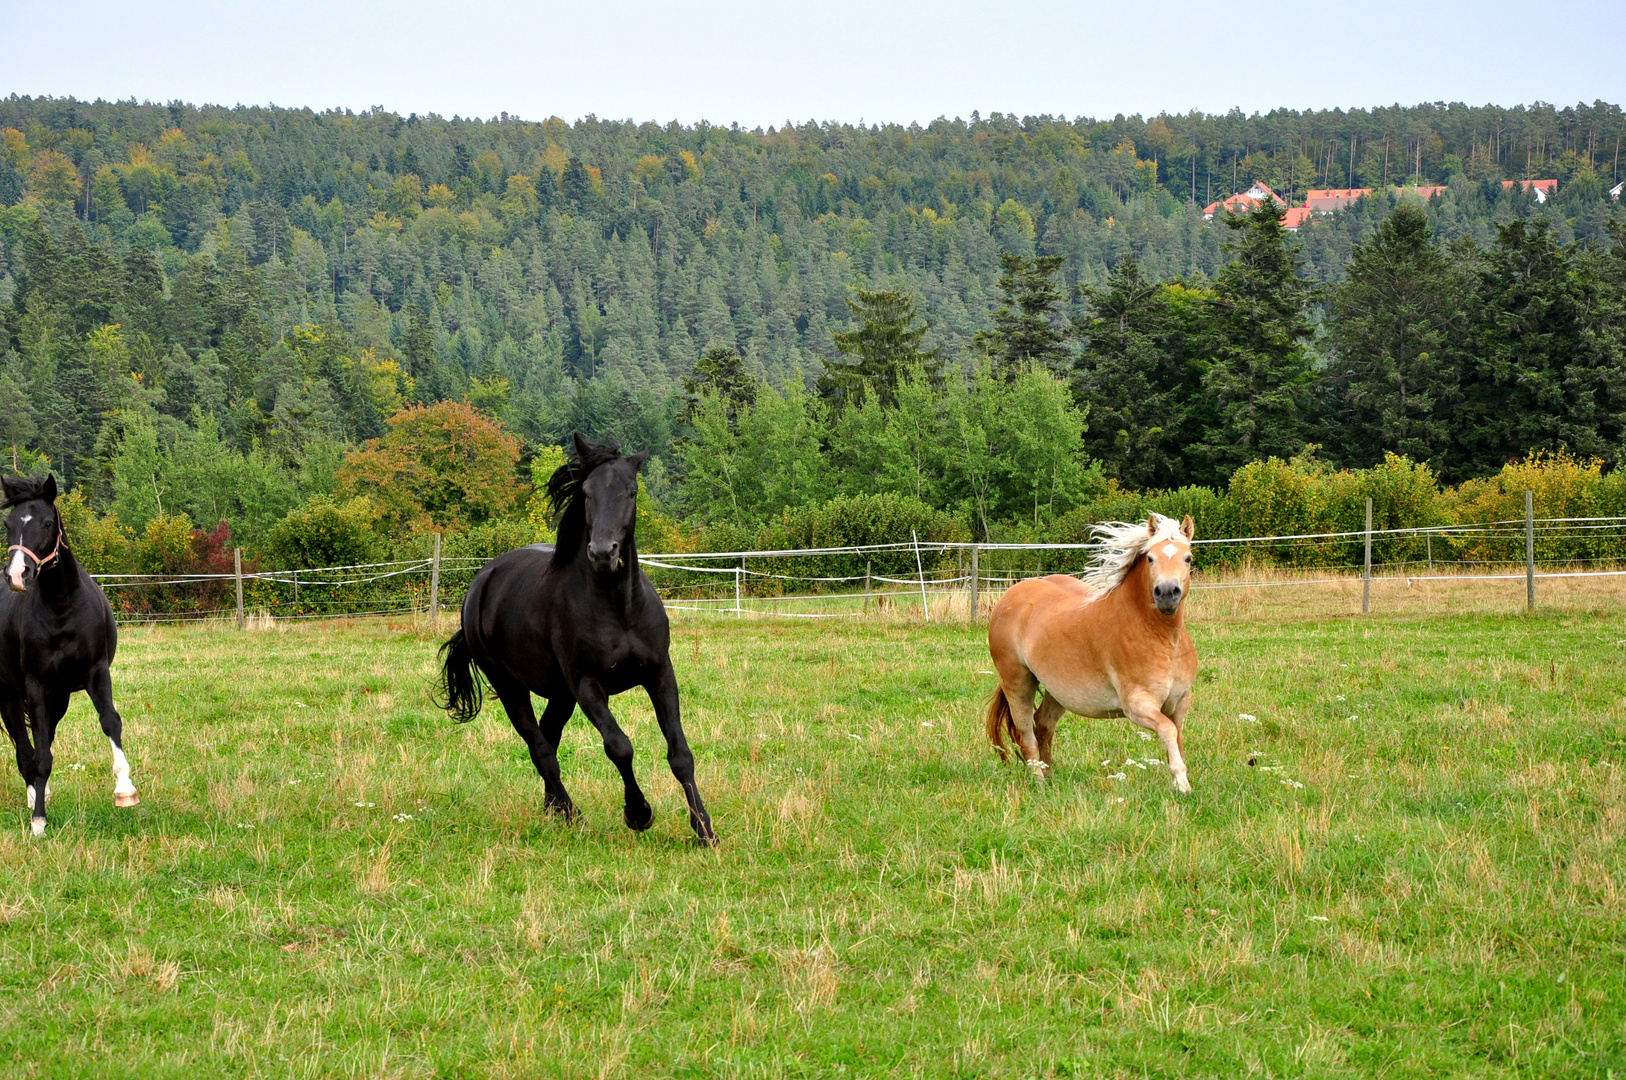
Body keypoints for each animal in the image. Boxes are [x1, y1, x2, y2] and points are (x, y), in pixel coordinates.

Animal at [435, 435, 715, 845]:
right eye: (586, 492)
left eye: (631, 492)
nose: (602, 553)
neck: (620, 610)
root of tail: (482, 582)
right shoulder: (587, 686)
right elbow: (619, 747)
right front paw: (638, 813)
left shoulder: (660, 675)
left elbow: (680, 753)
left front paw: (704, 830)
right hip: (509, 685)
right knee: (540, 748)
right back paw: (571, 815)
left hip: (559, 693)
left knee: (548, 737)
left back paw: (553, 808)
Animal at [982, 510, 1203, 790]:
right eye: (1151, 558)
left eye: (1188, 557)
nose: (1166, 593)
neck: (1162, 638)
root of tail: (1010, 596)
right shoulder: (1137, 705)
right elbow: (1168, 731)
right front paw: (1182, 784)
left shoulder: (1180, 702)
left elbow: (1178, 737)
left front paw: (1179, 783)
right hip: (1018, 682)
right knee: (1026, 735)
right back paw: (1040, 783)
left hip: (1058, 689)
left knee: (1043, 724)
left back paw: (1051, 778)